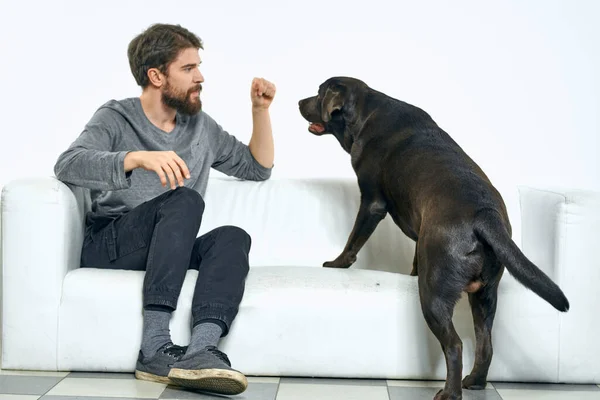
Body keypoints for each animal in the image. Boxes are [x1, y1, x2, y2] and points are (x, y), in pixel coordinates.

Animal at [298, 76, 568, 400]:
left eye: (318, 93)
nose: (298, 103)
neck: (366, 112)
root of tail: (485, 216)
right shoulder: (420, 234)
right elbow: (415, 256)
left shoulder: (372, 202)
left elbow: (354, 238)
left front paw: (337, 263)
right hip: (485, 296)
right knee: (485, 345)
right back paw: (474, 381)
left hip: (433, 294)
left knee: (455, 344)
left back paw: (450, 393)